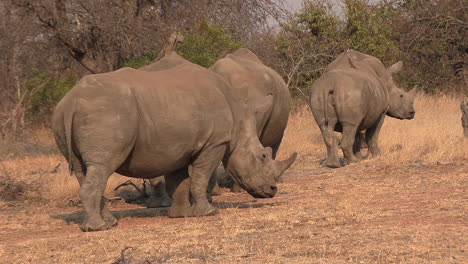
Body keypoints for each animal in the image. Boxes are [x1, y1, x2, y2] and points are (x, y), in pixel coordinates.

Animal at [52, 53, 296, 231]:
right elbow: (199, 177)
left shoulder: (177, 145)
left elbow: (179, 180)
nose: (273, 190)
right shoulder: (214, 142)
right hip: (105, 113)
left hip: (63, 116)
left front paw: (181, 215)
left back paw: (109, 223)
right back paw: (98, 228)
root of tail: (71, 102)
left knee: (83, 170)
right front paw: (208, 212)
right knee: (101, 167)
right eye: (262, 156)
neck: (239, 119)